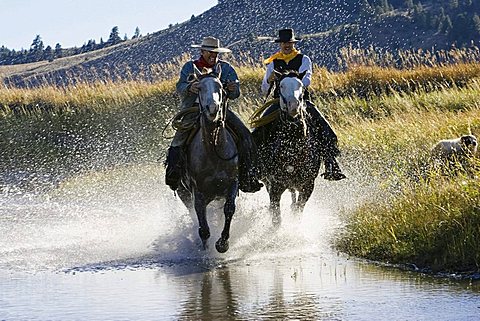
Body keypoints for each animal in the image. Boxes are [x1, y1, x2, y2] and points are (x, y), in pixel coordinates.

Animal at [175, 63, 239, 251]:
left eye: (221, 87)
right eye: (200, 88)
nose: (212, 108)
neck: (213, 151)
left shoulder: (232, 183)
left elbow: (229, 209)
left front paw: (223, 243)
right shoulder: (198, 193)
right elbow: (202, 225)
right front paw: (205, 249)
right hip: (183, 193)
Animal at [251, 72, 322, 225]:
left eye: (300, 85)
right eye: (281, 86)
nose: (293, 106)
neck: (293, 150)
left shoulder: (308, 186)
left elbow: (297, 212)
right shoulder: (276, 185)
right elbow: (276, 218)